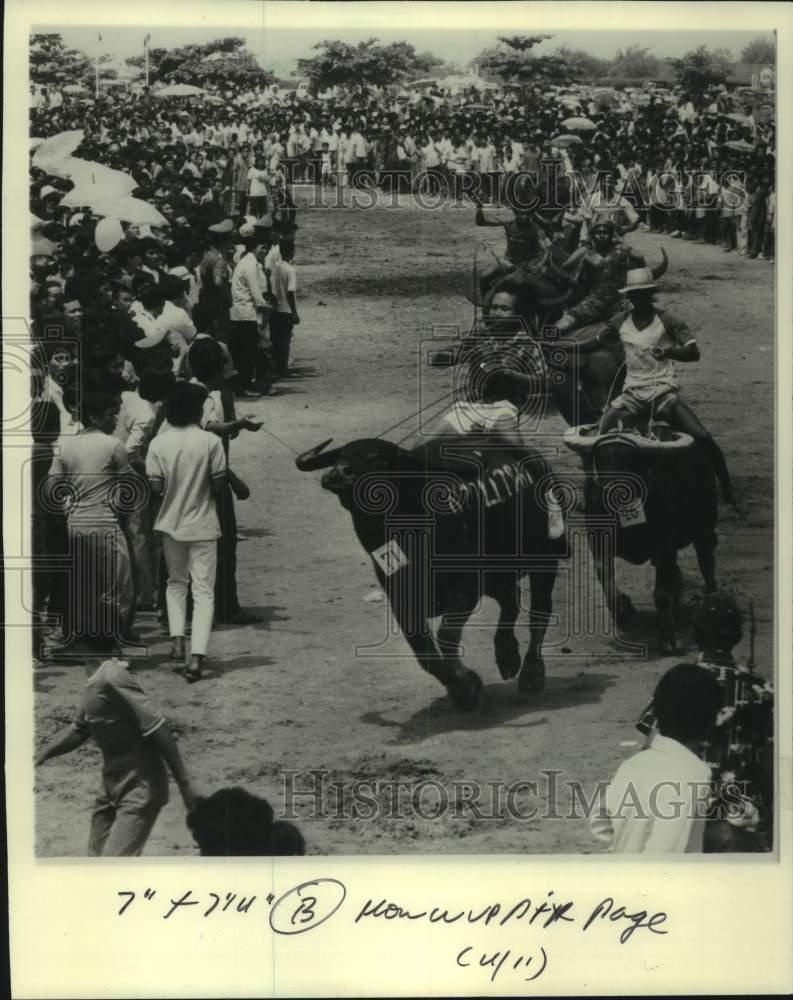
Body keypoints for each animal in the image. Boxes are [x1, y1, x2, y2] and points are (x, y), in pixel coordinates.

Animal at [294, 434, 568, 708]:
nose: (338, 474)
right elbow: (423, 651)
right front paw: (463, 688)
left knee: (539, 611)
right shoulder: (400, 598)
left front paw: (467, 685)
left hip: (545, 558)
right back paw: (507, 656)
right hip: (498, 575)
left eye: (380, 458)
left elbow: (446, 635)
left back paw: (532, 674)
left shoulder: (465, 589)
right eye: (340, 456)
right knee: (511, 602)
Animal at [564, 424, 716, 652]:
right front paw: (625, 614)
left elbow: (661, 592)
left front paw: (667, 639)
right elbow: (606, 581)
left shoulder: (665, 545)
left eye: (629, 460)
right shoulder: (598, 541)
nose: (609, 491)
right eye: (601, 459)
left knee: (707, 564)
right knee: (679, 575)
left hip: (705, 530)